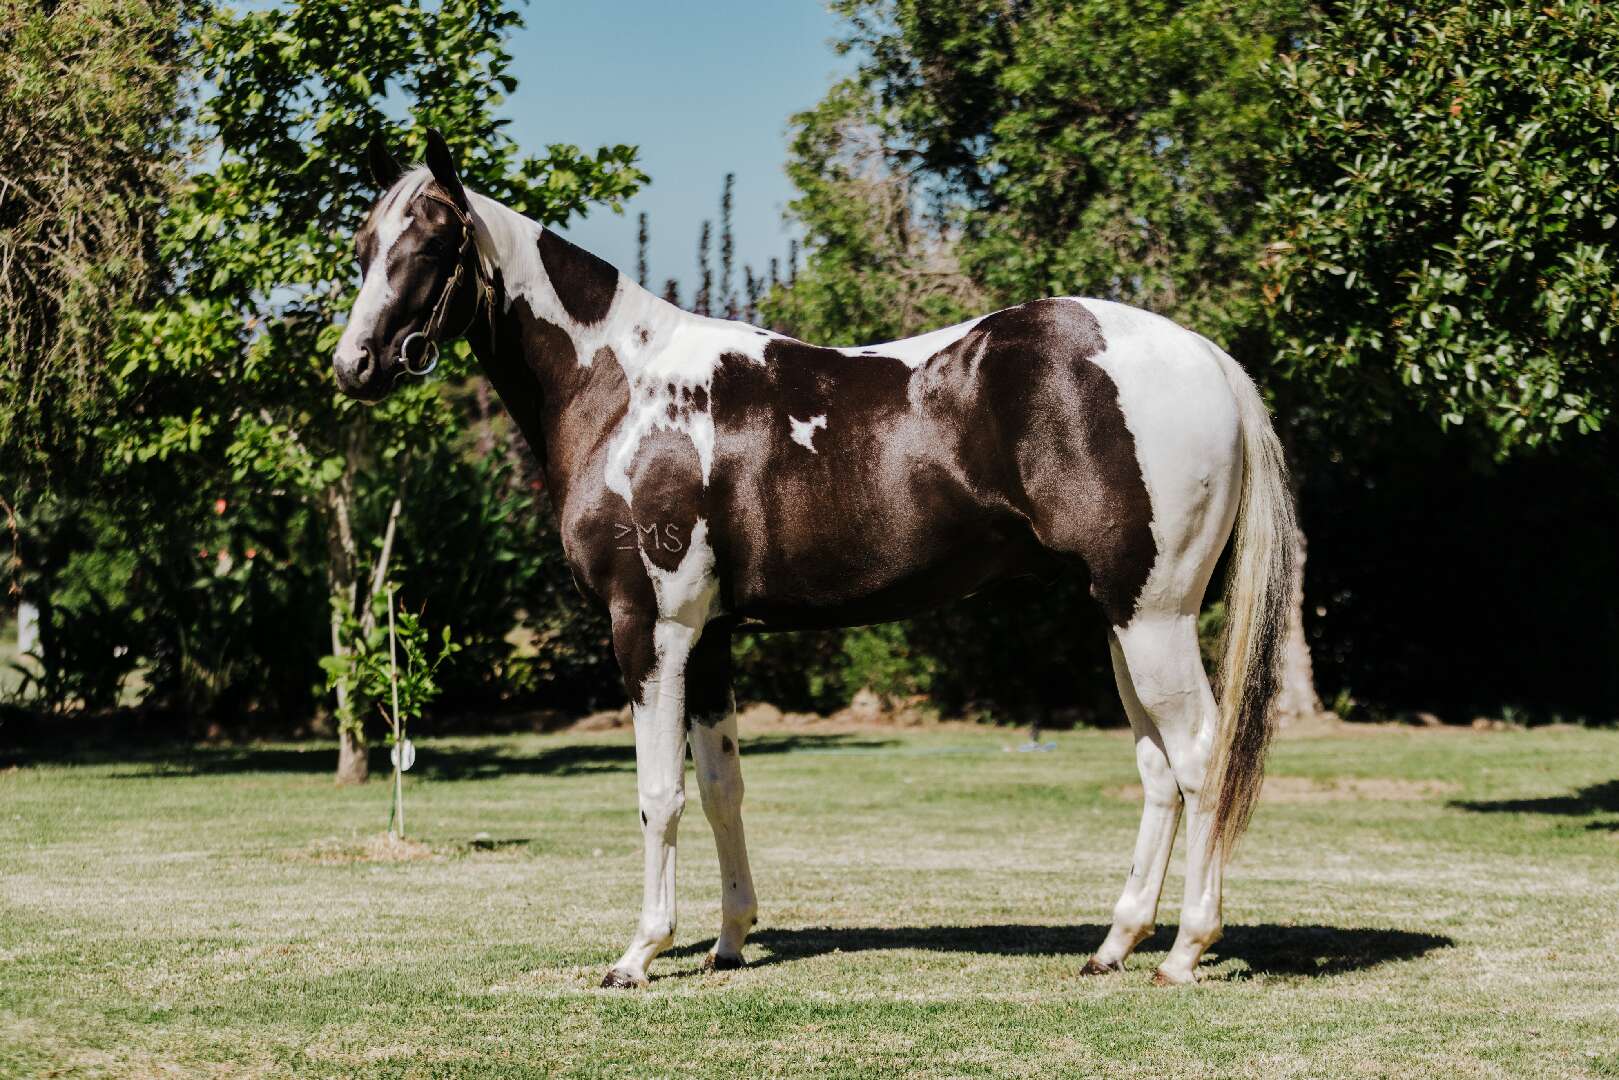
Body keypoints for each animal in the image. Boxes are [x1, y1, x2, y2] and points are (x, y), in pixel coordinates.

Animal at [334, 130, 1297, 988]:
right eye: (363, 245)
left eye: (432, 243)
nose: (354, 365)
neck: (626, 391)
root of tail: (1206, 358)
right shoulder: (709, 638)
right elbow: (719, 785)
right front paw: (728, 942)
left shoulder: (649, 628)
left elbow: (657, 793)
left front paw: (639, 954)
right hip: (1119, 614)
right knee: (1157, 768)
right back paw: (1114, 944)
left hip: (1153, 614)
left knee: (1198, 758)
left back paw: (1183, 952)